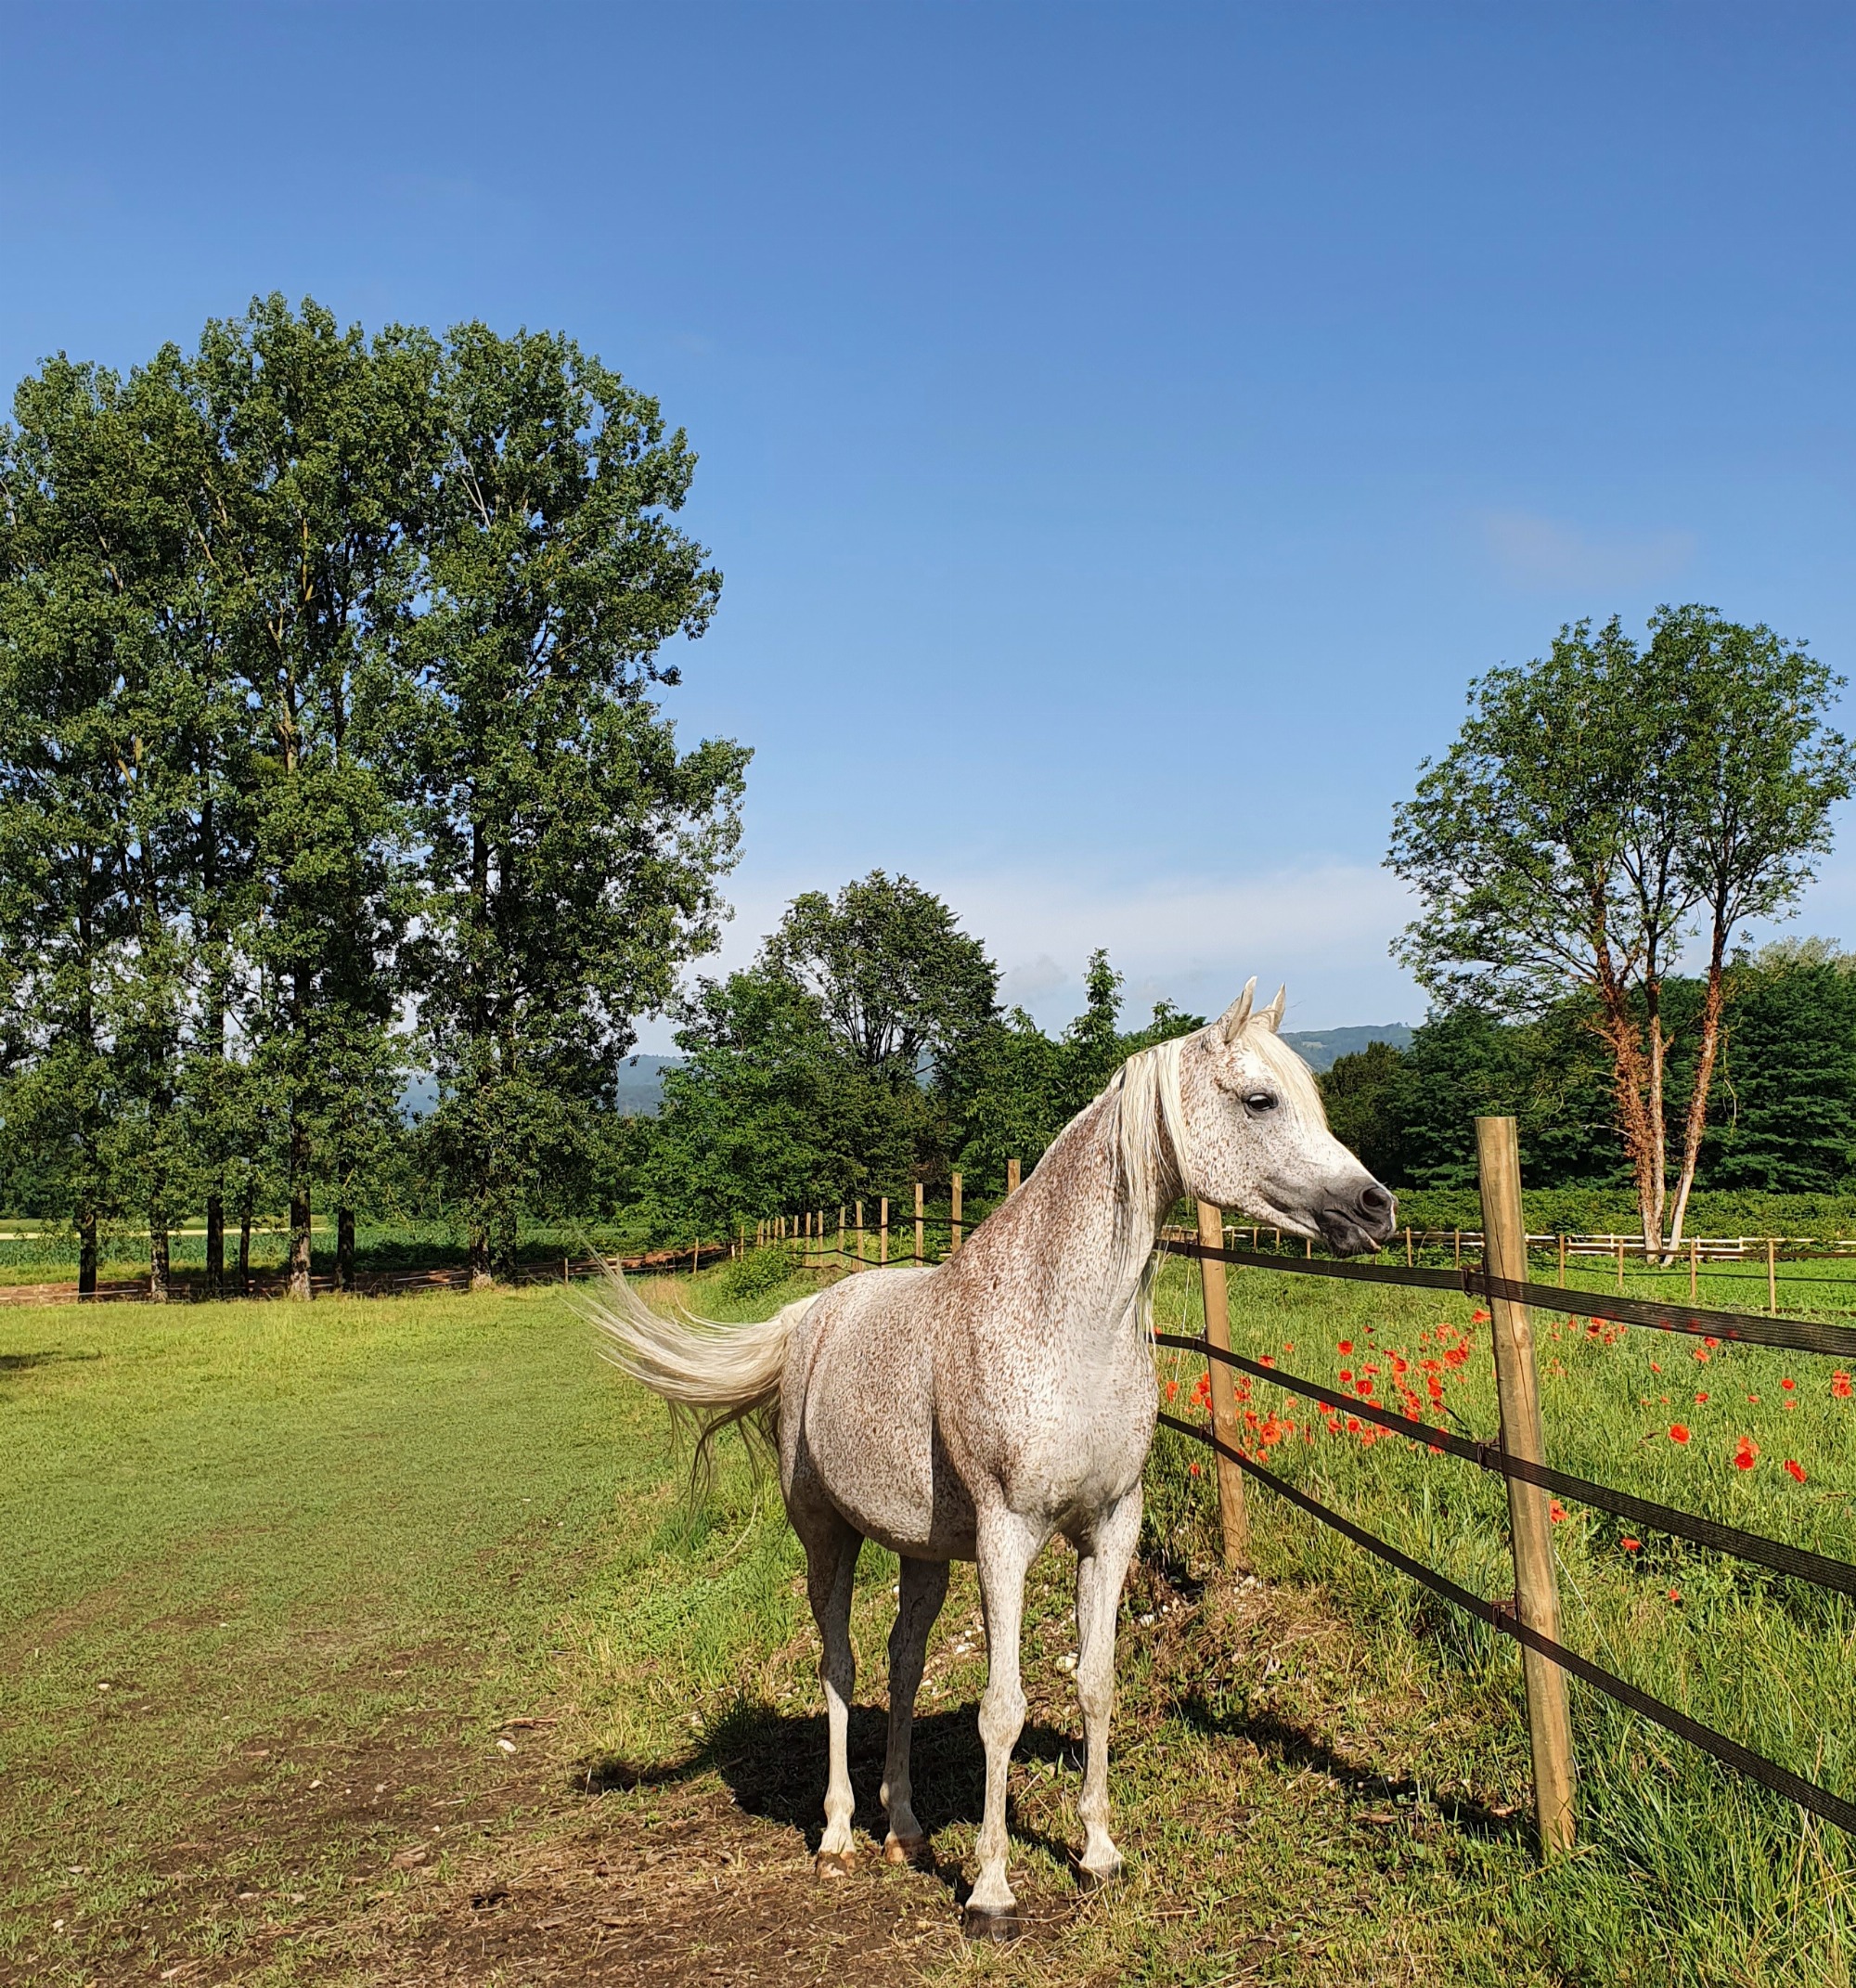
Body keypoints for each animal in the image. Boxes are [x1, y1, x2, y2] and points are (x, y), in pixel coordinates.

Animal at [593, 979, 1396, 1937]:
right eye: (1261, 1100)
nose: (1376, 1207)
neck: (1063, 1324)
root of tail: (808, 1320)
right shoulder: (1007, 1537)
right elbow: (1002, 1710)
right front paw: (990, 1892)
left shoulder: (1110, 1528)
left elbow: (1094, 1683)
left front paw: (1099, 1854)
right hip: (826, 1535)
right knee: (838, 1666)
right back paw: (838, 1837)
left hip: (923, 1552)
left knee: (901, 1664)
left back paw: (903, 1830)